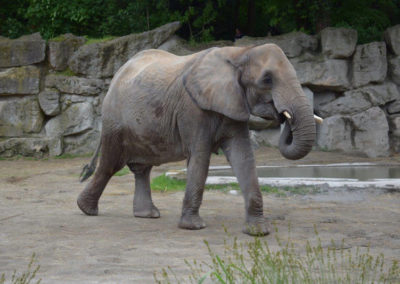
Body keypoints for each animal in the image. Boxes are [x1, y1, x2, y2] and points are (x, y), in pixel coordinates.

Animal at [76, 43, 318, 236]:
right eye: (267, 79)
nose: (283, 115)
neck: (240, 52)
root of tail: (116, 76)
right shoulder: (192, 109)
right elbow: (200, 158)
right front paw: (193, 227)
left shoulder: (234, 104)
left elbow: (244, 158)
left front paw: (258, 231)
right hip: (115, 121)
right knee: (110, 164)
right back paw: (86, 210)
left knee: (141, 168)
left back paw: (148, 215)